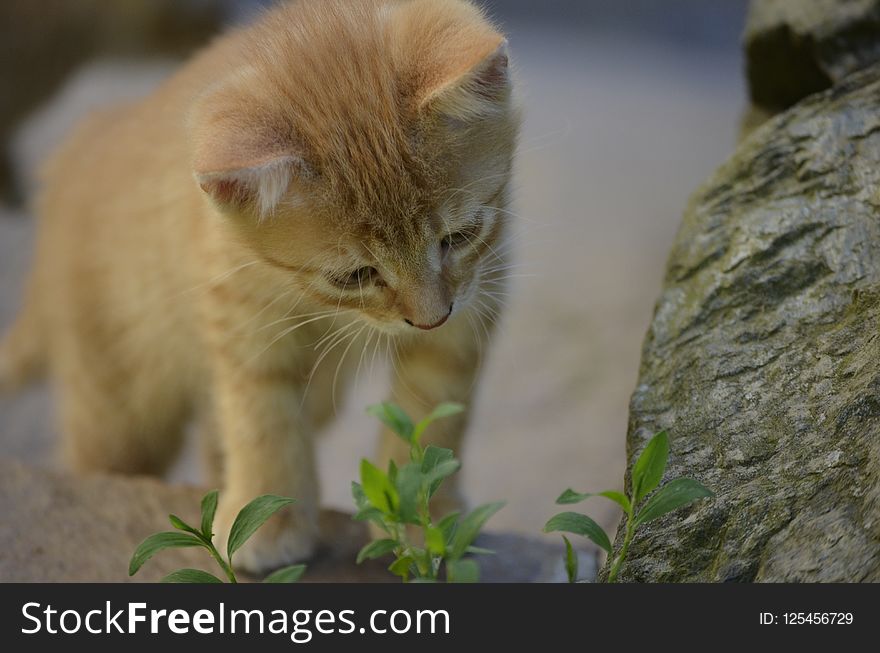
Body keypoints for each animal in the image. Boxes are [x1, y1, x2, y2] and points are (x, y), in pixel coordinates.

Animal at [0, 0, 520, 572]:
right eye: (354, 276)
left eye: (460, 235)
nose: (429, 318)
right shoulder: (240, 318)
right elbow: (260, 417)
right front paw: (268, 517)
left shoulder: (478, 291)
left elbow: (436, 409)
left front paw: (423, 514)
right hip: (119, 403)